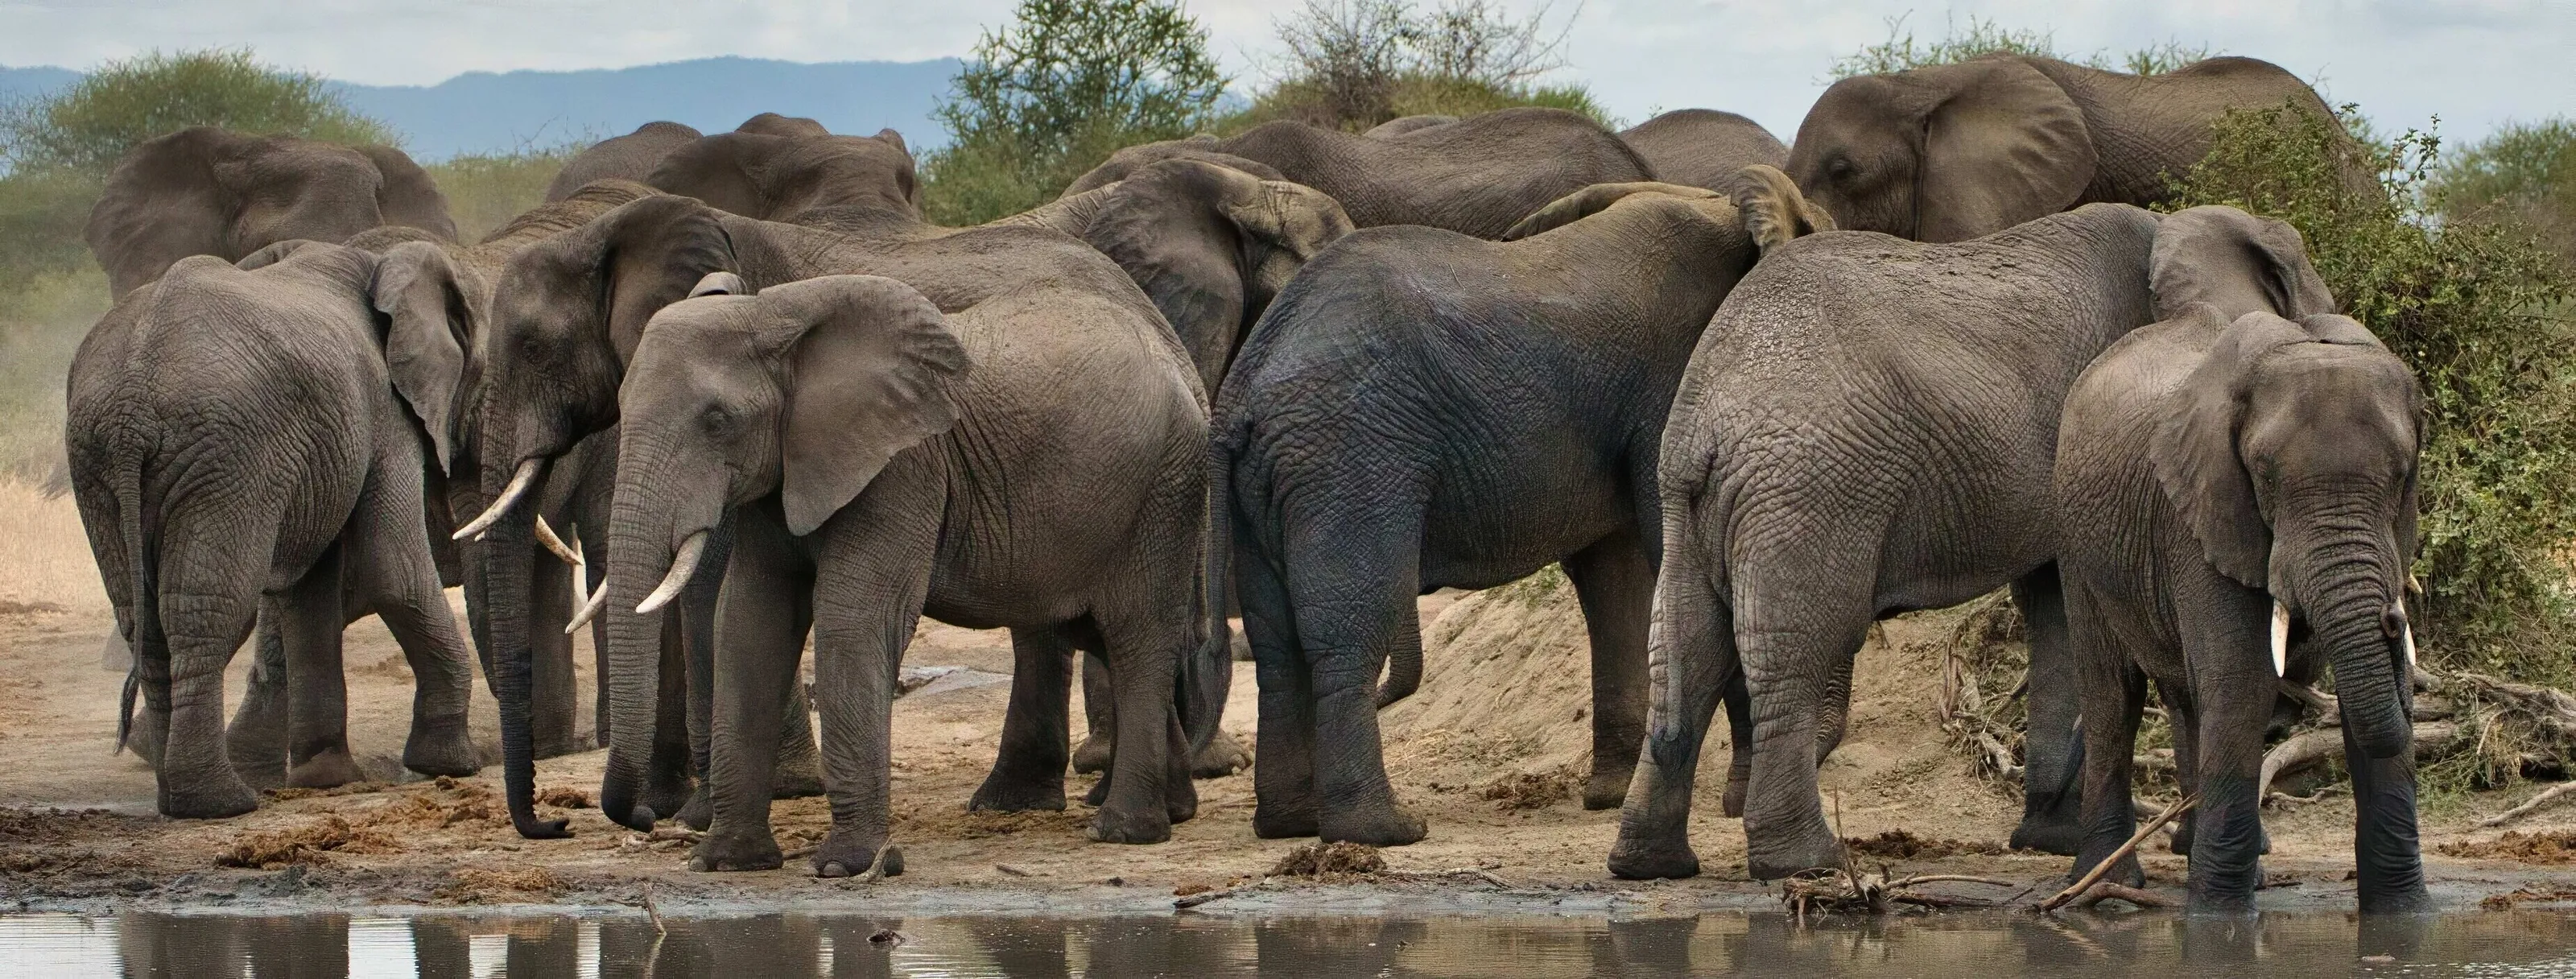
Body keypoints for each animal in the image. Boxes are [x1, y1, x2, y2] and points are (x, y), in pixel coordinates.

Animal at [65, 239, 483, 818]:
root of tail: (131, 406)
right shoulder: (384, 413)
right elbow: (392, 570)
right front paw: (453, 766)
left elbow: (309, 594)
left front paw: (328, 779)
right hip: (229, 458)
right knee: (210, 610)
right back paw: (219, 803)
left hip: (98, 461)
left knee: (142, 619)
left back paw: (176, 798)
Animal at [471, 195, 1211, 859]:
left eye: (717, 422)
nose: (560, 823)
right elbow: (750, 617)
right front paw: (726, 855)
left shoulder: (903, 465)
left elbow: (840, 616)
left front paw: (841, 861)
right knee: (1090, 630)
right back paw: (1155, 807)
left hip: (1165, 490)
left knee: (1135, 633)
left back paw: (1120, 828)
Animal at [1206, 167, 1828, 845]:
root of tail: (1242, 391)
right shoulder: (1676, 382)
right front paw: (1736, 805)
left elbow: (1615, 581)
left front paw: (1609, 798)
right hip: (1347, 455)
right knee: (1344, 638)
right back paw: (1387, 830)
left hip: (1269, 483)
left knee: (1277, 648)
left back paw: (1291, 824)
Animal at [1607, 203, 2335, 882]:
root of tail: (1708, 413)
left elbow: (2055, 612)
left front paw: (2053, 839)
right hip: (1809, 492)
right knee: (1802, 648)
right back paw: (1806, 863)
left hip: (1690, 501)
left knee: (1686, 645)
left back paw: (1651, 864)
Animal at [2055, 301, 2428, 915]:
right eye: (2266, 475)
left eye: (2401, 476)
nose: (2394, 619)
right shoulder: (2203, 513)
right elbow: (2243, 682)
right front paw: (2216, 919)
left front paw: (2405, 916)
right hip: (2076, 545)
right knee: (2113, 695)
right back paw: (2106, 884)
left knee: (2187, 696)